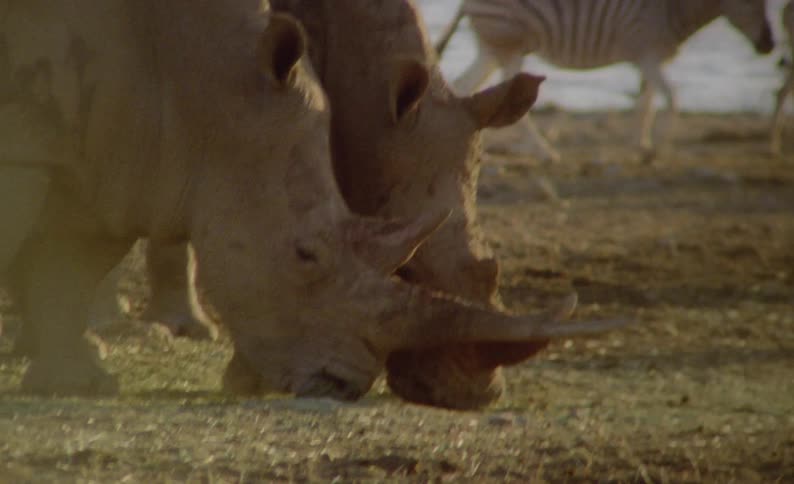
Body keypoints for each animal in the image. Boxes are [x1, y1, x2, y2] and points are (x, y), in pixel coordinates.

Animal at [438, 0, 774, 160]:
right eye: (751, 1)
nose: (769, 45)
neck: (674, 7)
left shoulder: (650, 57)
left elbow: (646, 101)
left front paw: (642, 145)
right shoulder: (647, 51)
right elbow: (671, 97)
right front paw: (658, 147)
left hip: (493, 48)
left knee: (463, 86)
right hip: (509, 44)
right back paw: (544, 151)